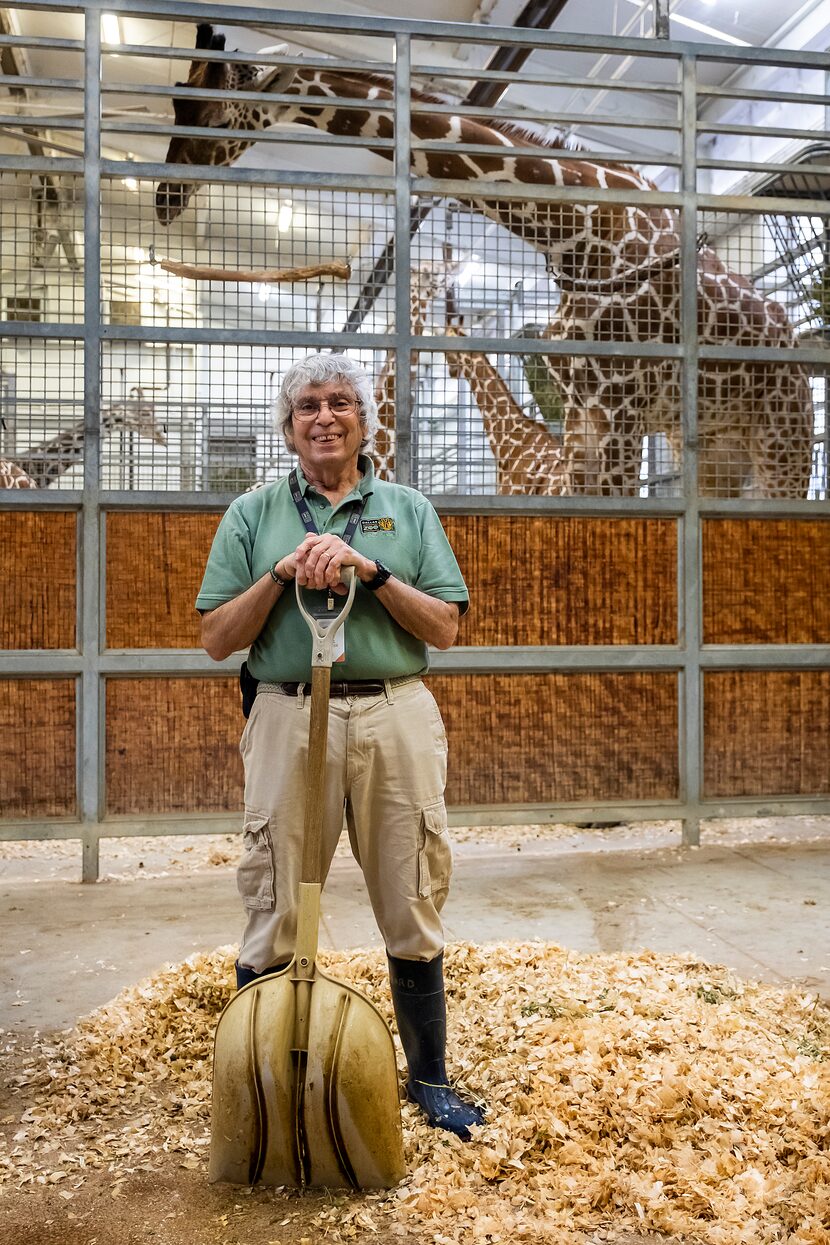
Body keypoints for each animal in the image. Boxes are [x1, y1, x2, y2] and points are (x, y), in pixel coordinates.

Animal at [154, 26, 811, 498]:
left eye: (214, 112)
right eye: (178, 102)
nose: (164, 198)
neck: (576, 233)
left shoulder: (620, 408)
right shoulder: (586, 418)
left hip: (783, 438)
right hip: (710, 450)